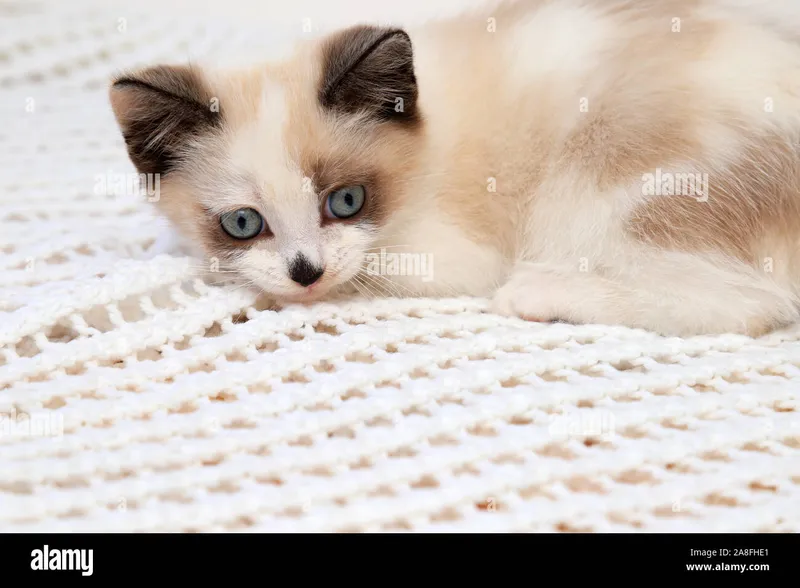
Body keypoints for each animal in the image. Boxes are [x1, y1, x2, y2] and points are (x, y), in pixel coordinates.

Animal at [109, 0, 800, 336]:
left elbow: (355, 276)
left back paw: (540, 293)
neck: (427, 141)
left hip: (599, 185)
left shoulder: (449, 251)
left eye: (347, 202)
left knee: (747, 307)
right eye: (244, 223)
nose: (305, 271)